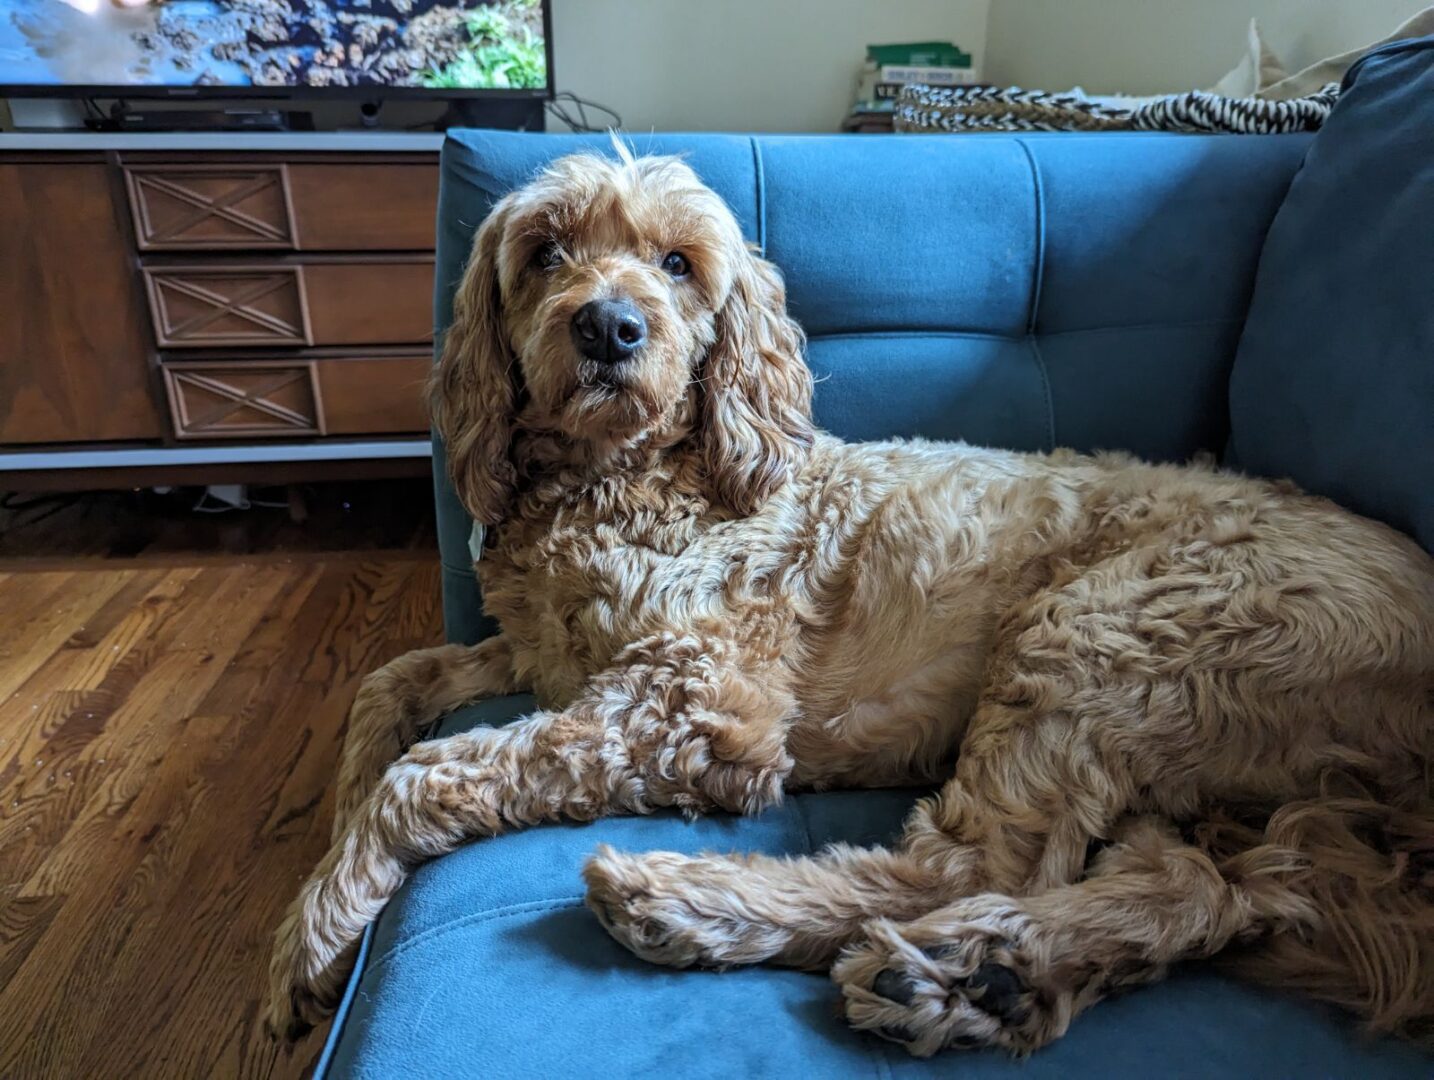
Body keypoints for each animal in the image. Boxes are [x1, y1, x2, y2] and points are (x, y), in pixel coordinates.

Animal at [269, 143, 1434, 1055]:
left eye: (677, 264)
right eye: (546, 251)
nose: (608, 328)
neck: (631, 479)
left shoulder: (701, 702)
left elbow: (429, 771)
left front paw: (315, 929)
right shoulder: (538, 658)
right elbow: (390, 686)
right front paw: (333, 825)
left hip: (1106, 632)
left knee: (964, 864)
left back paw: (691, 903)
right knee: (1197, 887)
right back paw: (985, 978)